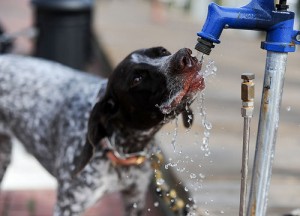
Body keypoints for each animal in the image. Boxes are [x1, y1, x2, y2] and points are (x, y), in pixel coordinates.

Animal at [0, 47, 204, 216]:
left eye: (163, 51)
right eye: (137, 79)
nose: (186, 56)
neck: (122, 149)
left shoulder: (135, 198)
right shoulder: (69, 206)